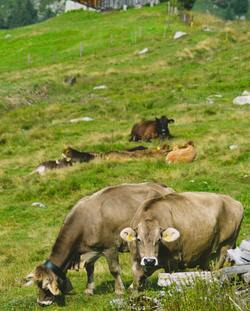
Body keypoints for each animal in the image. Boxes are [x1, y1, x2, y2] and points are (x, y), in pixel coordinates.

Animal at [24, 183, 174, 308]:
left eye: (44, 286)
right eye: (36, 284)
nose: (41, 303)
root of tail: (165, 188)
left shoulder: (110, 247)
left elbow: (114, 270)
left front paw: (119, 290)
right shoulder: (92, 250)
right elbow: (89, 268)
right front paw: (89, 289)